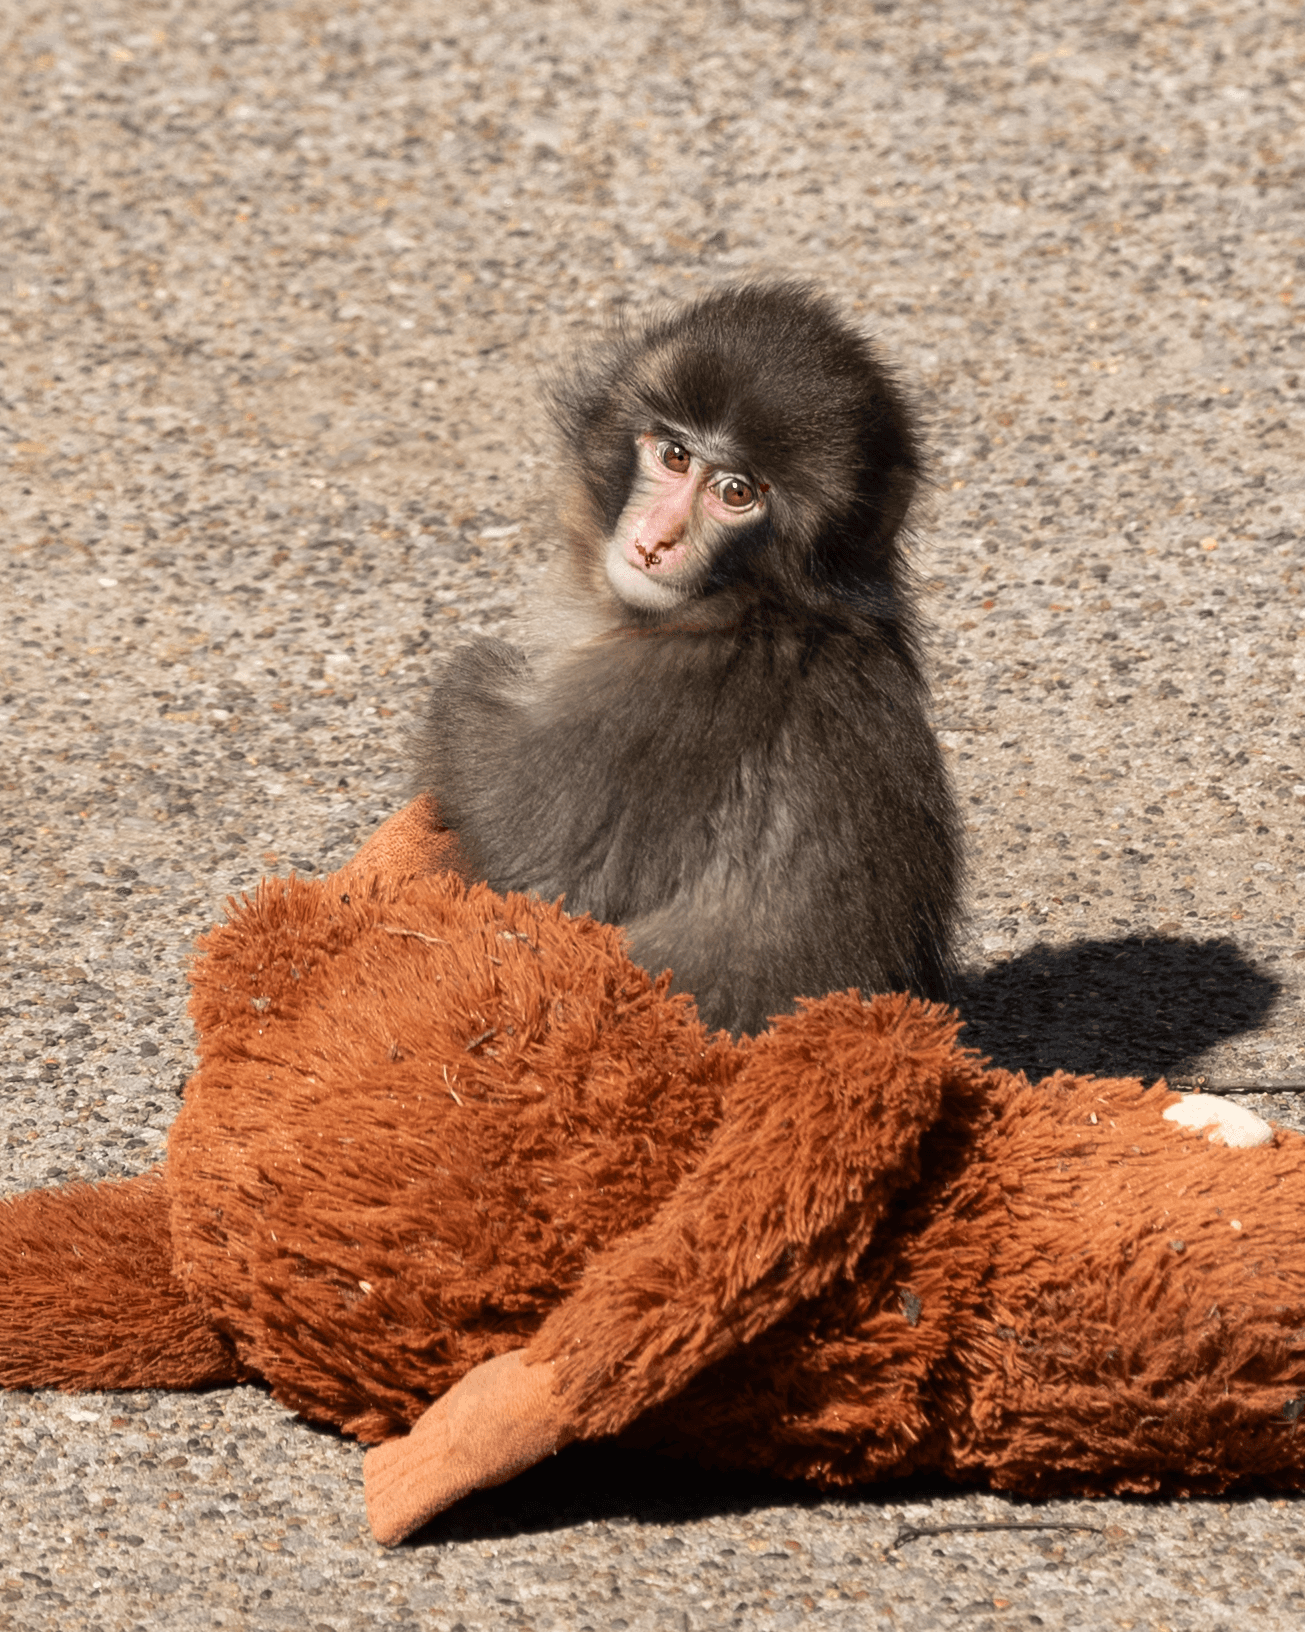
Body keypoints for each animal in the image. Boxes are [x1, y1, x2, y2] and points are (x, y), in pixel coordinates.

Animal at [415, 282, 961, 1037]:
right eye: (674, 455)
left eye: (736, 492)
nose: (655, 542)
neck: (756, 608)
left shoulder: (655, 700)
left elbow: (524, 857)